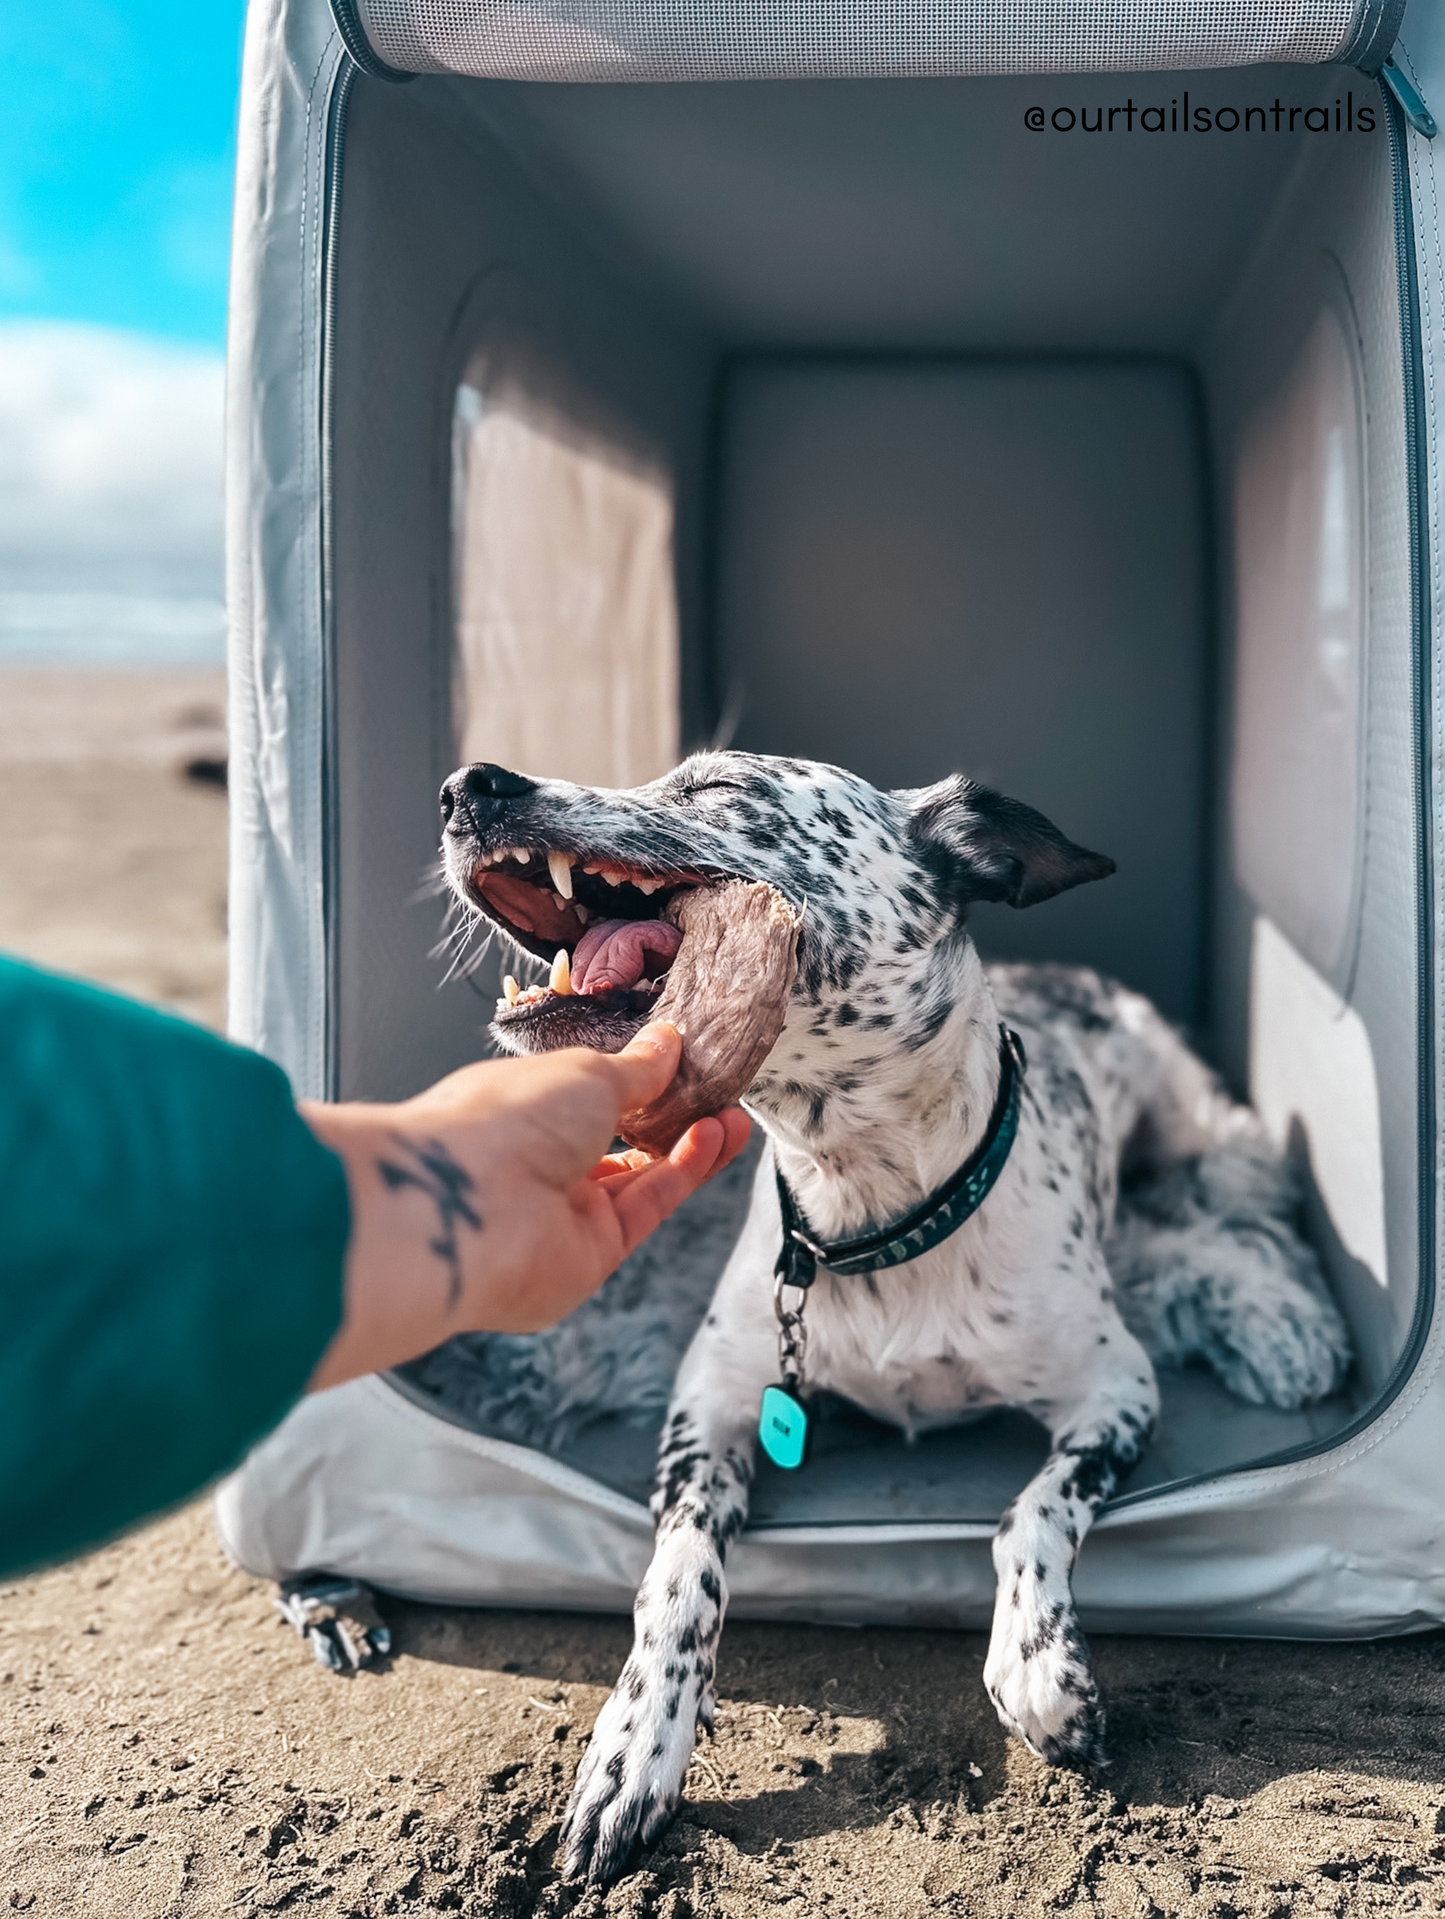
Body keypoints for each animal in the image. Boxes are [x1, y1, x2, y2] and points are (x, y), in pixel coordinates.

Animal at [433, 748, 1350, 1888]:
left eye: (719, 788)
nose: (467, 785)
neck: (866, 1212)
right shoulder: (705, 1414)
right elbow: (677, 1579)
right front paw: (633, 1745)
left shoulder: (1115, 1393)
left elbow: (1026, 1514)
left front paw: (1039, 1670)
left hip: (1204, 1133)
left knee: (1235, 1215)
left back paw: (1279, 1323)